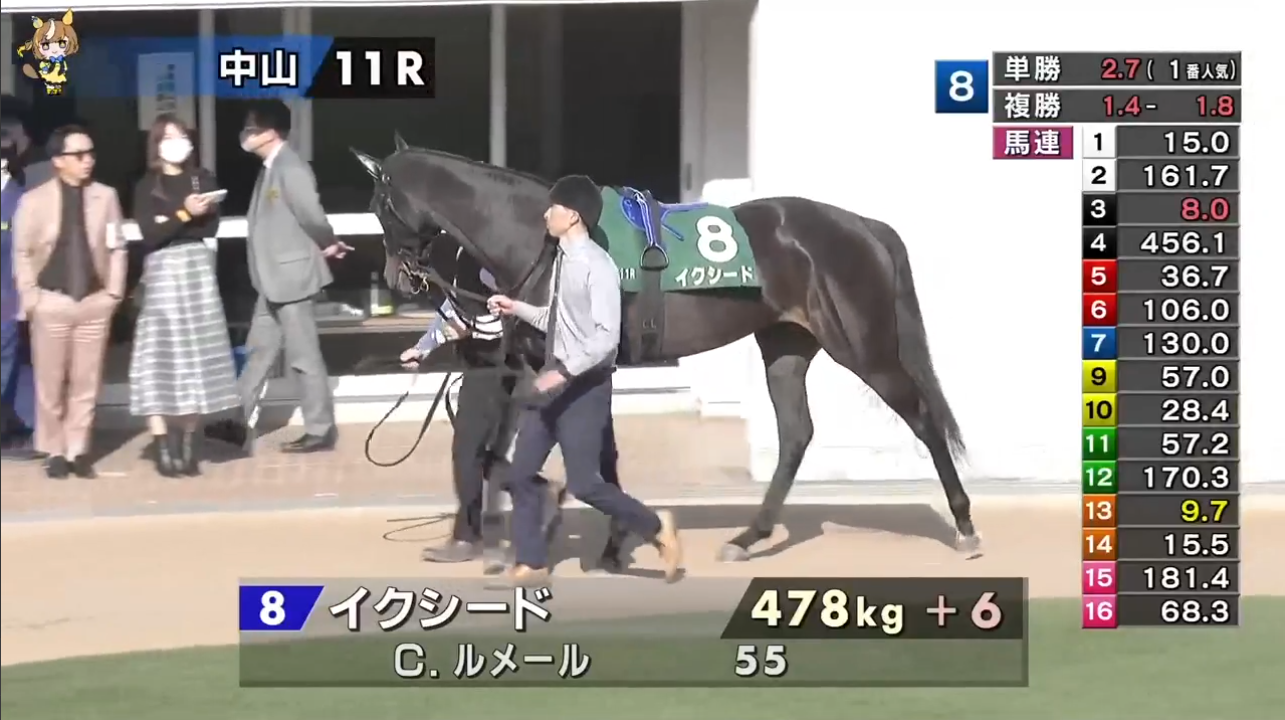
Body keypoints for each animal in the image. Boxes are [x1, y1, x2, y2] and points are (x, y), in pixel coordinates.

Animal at [351, 133, 983, 562]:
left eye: (381, 206)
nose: (398, 278)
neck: (547, 240)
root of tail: (864, 227)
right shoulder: (560, 366)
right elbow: (576, 455)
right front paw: (611, 538)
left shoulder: (571, 364)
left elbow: (554, 456)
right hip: (786, 344)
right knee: (796, 434)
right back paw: (747, 537)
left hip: (864, 346)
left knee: (922, 417)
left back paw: (965, 526)